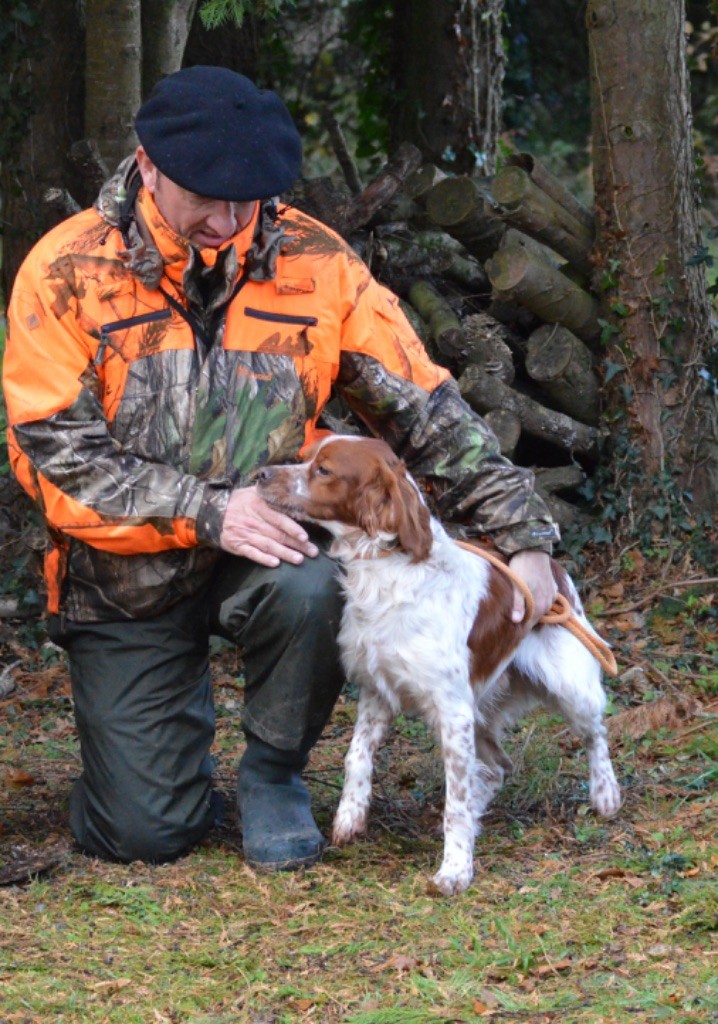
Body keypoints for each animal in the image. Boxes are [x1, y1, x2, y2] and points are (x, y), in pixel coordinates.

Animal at [256, 436, 614, 892]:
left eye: (324, 470)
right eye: (305, 457)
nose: (261, 474)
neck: (385, 568)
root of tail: (553, 568)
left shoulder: (452, 708)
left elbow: (454, 802)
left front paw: (455, 869)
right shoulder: (377, 690)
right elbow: (356, 756)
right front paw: (349, 817)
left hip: (569, 685)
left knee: (594, 735)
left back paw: (605, 794)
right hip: (480, 710)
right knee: (497, 767)